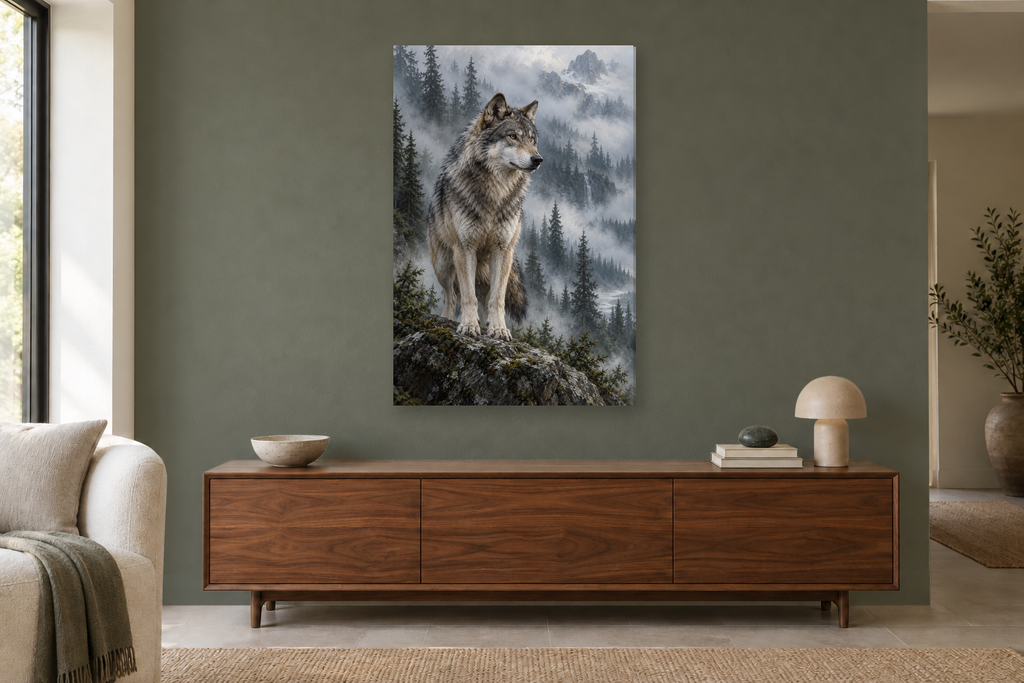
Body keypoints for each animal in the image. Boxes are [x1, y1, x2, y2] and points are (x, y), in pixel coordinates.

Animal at [427, 93, 543, 341]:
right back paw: (448, 320)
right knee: (451, 296)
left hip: (491, 269)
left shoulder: (503, 249)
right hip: (443, 264)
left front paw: (499, 329)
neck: (495, 195)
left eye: (532, 140)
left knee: (486, 297)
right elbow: (467, 296)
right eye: (512, 136)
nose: (537, 159)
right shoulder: (465, 248)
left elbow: (497, 299)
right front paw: (469, 326)